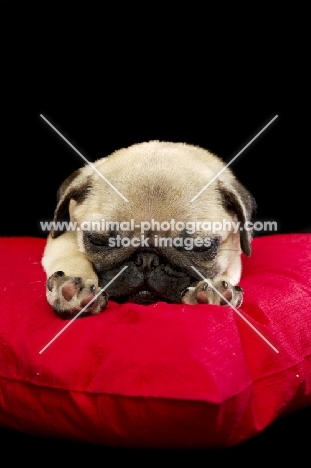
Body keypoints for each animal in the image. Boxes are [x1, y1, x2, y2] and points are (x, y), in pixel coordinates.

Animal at [42, 142, 256, 318]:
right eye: (98, 241)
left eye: (200, 247)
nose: (146, 260)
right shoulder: (64, 237)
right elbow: (72, 256)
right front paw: (74, 287)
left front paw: (214, 290)